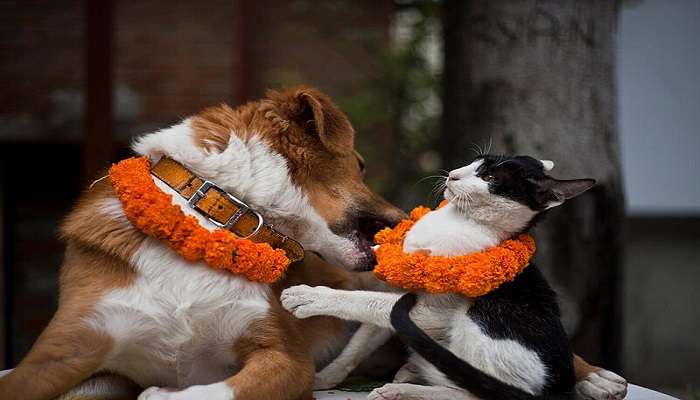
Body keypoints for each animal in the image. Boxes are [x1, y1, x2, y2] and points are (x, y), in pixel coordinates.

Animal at [282, 155, 604, 400]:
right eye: (474, 161)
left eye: (488, 175)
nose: (453, 175)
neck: (455, 222)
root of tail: (557, 392)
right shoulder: (397, 294)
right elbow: (359, 343)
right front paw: (326, 377)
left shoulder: (428, 312)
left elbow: (365, 302)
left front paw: (309, 296)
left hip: (477, 317)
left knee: (473, 394)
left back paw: (406, 388)